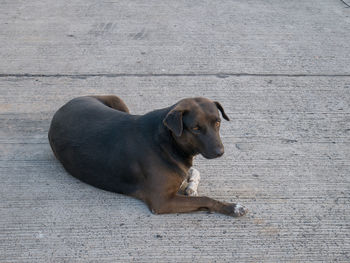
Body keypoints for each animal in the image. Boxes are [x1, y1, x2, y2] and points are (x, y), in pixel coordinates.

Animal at [47, 96, 247, 218]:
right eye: (196, 128)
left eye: (218, 122)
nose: (220, 151)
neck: (168, 142)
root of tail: (63, 107)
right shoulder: (162, 202)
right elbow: (205, 199)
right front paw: (233, 207)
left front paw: (191, 185)